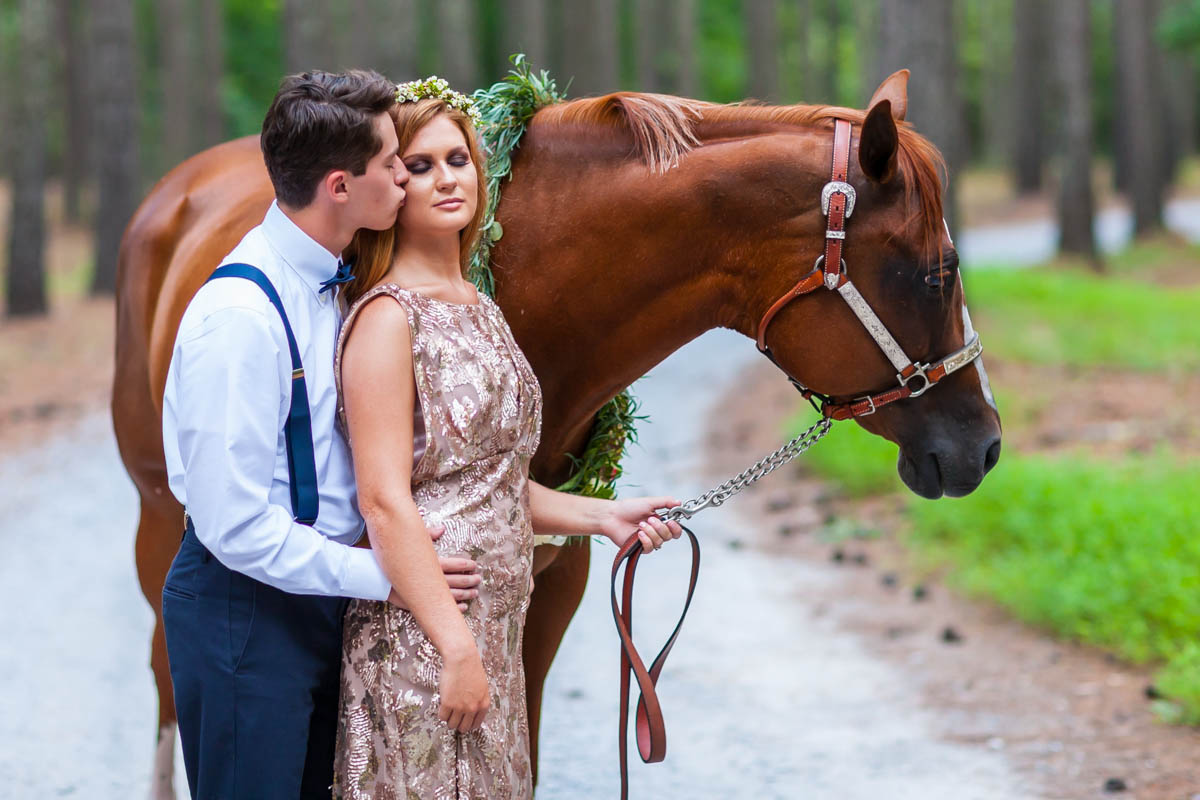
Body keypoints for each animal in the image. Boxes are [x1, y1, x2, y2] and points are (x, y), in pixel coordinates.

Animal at [112, 71, 998, 796]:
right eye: (938, 273)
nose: (983, 444)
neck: (518, 281)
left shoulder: (551, 594)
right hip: (160, 519)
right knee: (169, 681)